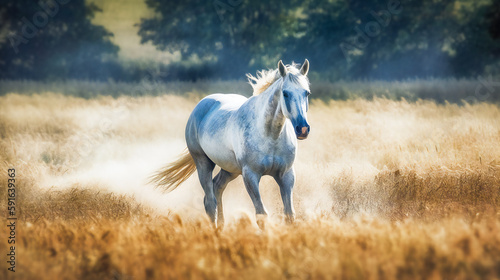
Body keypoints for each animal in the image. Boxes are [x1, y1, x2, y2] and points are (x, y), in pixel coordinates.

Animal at [150, 59, 310, 228]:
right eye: (285, 93)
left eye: (306, 93)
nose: (303, 129)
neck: (270, 135)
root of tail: (201, 105)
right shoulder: (250, 175)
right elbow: (261, 214)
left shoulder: (286, 175)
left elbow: (289, 214)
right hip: (203, 163)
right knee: (210, 202)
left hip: (230, 170)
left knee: (217, 188)